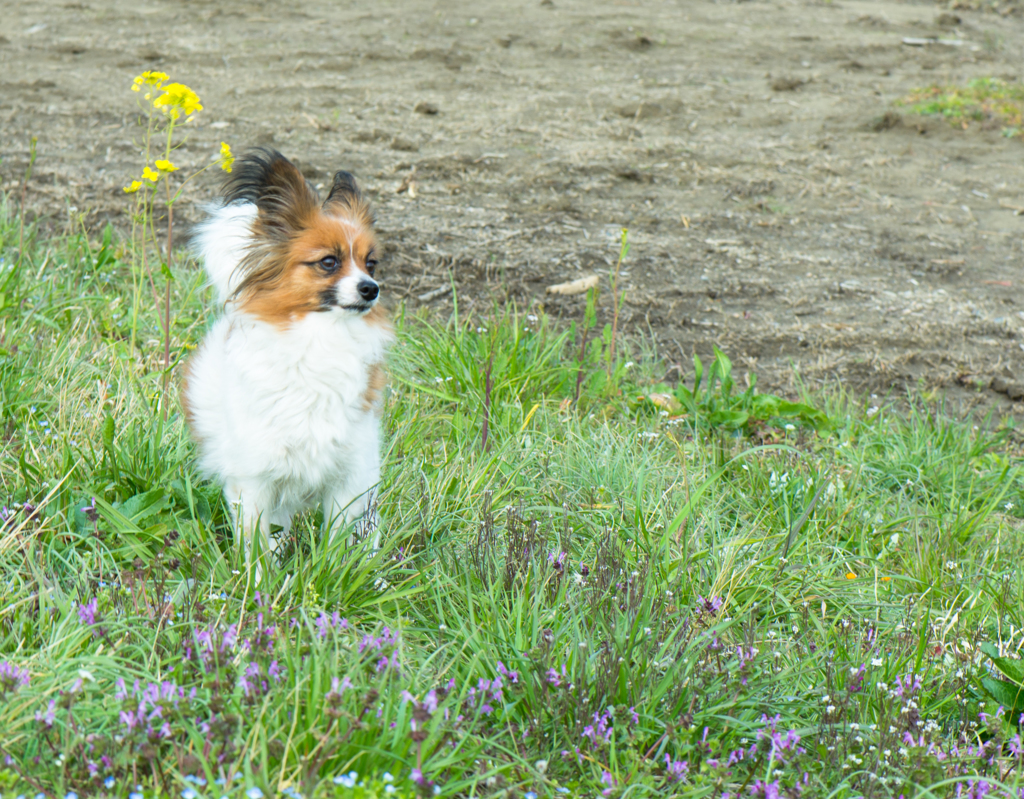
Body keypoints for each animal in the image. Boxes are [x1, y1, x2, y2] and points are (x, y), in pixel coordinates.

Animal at [184, 148, 391, 561]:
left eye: (371, 264)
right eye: (328, 262)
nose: (371, 289)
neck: (322, 340)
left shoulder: (348, 475)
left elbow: (337, 540)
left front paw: (332, 572)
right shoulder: (254, 478)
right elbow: (254, 546)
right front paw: (256, 578)